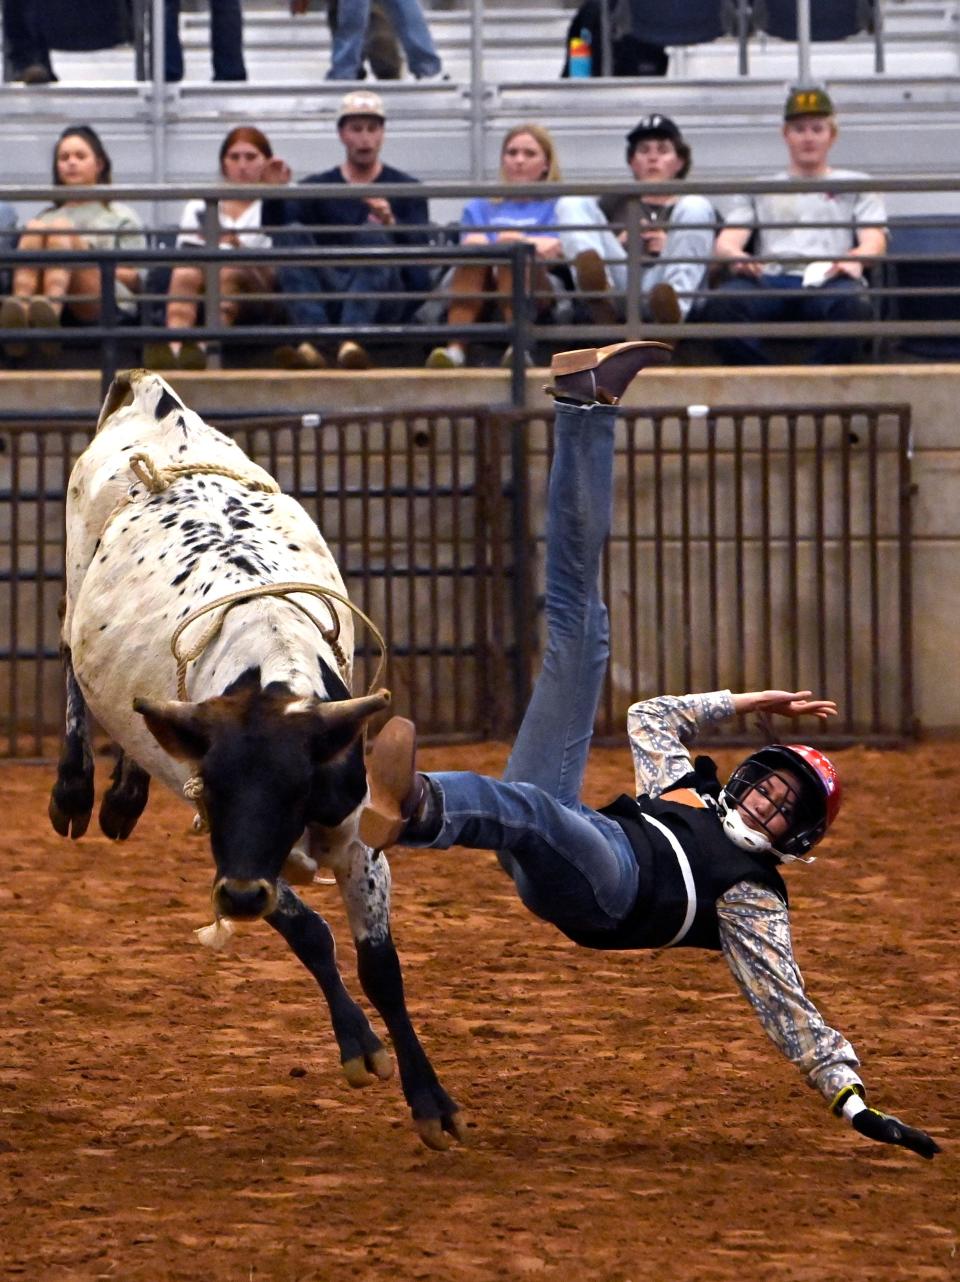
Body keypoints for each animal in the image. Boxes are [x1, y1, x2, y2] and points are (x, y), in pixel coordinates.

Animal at [51, 369, 463, 1153]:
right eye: (215, 793)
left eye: (298, 788)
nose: (239, 900)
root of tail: (155, 397)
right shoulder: (231, 852)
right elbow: (309, 931)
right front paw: (361, 1047)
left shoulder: (358, 839)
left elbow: (381, 967)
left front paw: (431, 1100)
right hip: (73, 577)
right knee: (73, 677)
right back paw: (75, 791)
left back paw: (123, 798)